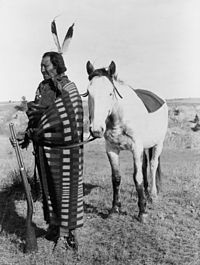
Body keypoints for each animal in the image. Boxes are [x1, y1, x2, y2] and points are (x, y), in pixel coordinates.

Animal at [84, 60, 167, 221]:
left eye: (110, 93)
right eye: (89, 93)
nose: (96, 130)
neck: (120, 117)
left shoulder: (136, 148)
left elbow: (137, 177)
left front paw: (142, 212)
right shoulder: (111, 149)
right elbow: (116, 178)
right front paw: (114, 208)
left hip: (158, 144)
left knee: (153, 165)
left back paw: (152, 195)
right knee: (145, 165)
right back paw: (146, 193)